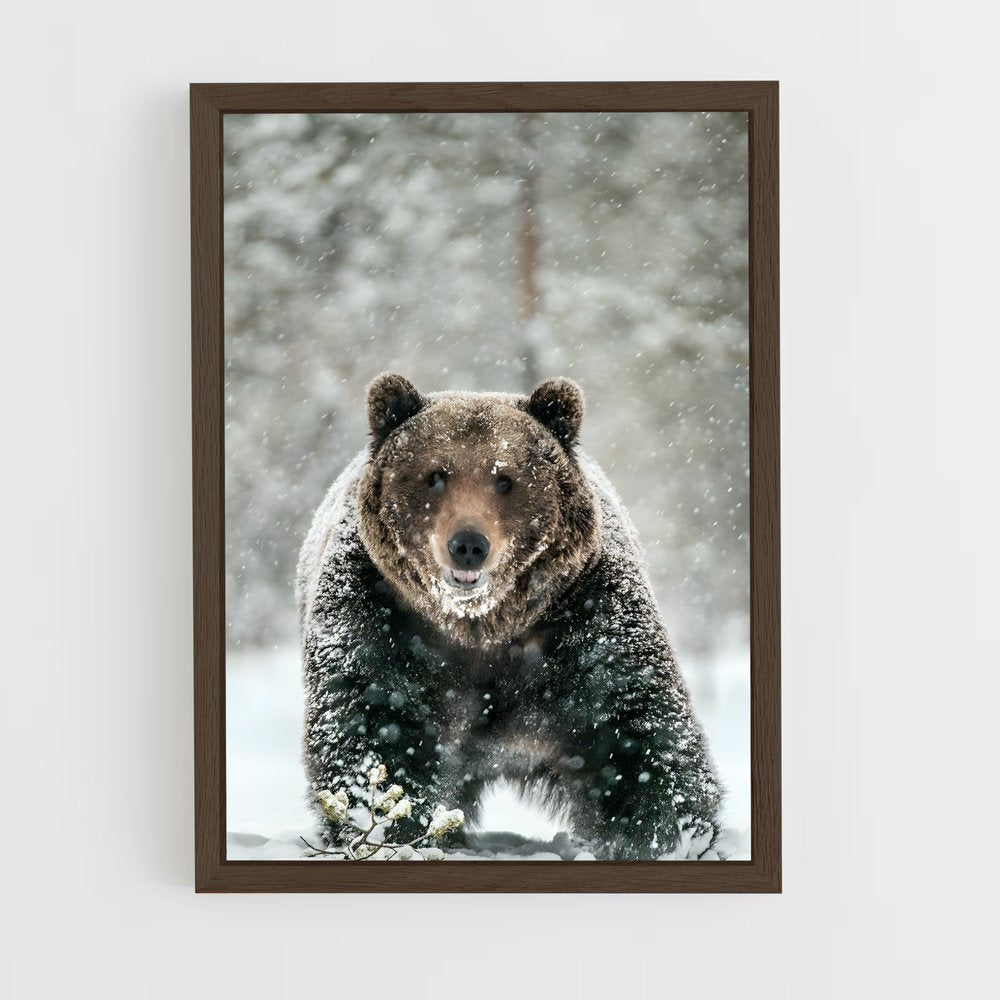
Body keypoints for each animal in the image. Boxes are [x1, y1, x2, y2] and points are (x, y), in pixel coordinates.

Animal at [296, 373, 722, 860]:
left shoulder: (586, 617)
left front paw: (663, 836)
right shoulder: (379, 614)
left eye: (505, 478)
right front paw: (388, 831)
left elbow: (632, 723)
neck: (482, 624)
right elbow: (376, 723)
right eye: (435, 475)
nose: (468, 544)